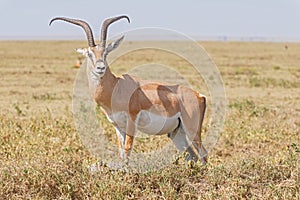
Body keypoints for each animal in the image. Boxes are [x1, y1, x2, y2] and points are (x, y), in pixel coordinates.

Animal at [49, 15, 209, 164]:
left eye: (106, 52)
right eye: (89, 53)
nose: (100, 68)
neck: (116, 87)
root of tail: (199, 95)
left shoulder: (132, 122)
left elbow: (127, 150)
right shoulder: (118, 126)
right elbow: (121, 152)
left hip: (192, 130)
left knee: (203, 153)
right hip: (177, 134)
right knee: (193, 156)